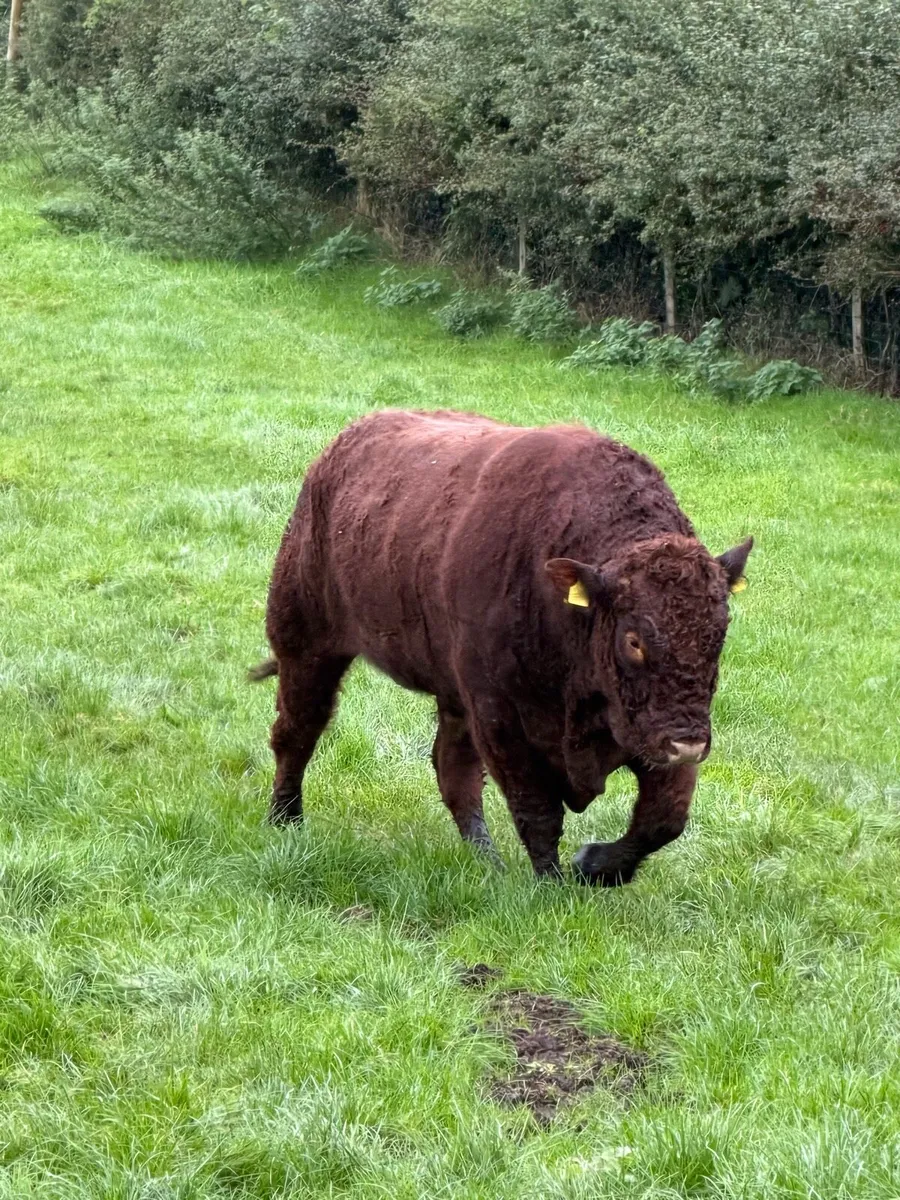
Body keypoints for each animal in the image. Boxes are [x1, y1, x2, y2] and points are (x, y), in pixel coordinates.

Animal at [251, 409, 752, 885]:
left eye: (720, 631)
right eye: (634, 640)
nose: (688, 742)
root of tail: (336, 453)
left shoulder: (653, 736)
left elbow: (663, 819)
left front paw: (592, 866)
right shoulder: (502, 719)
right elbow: (539, 812)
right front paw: (553, 883)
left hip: (449, 692)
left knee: (452, 771)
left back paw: (486, 861)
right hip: (307, 647)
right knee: (297, 731)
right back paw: (285, 821)